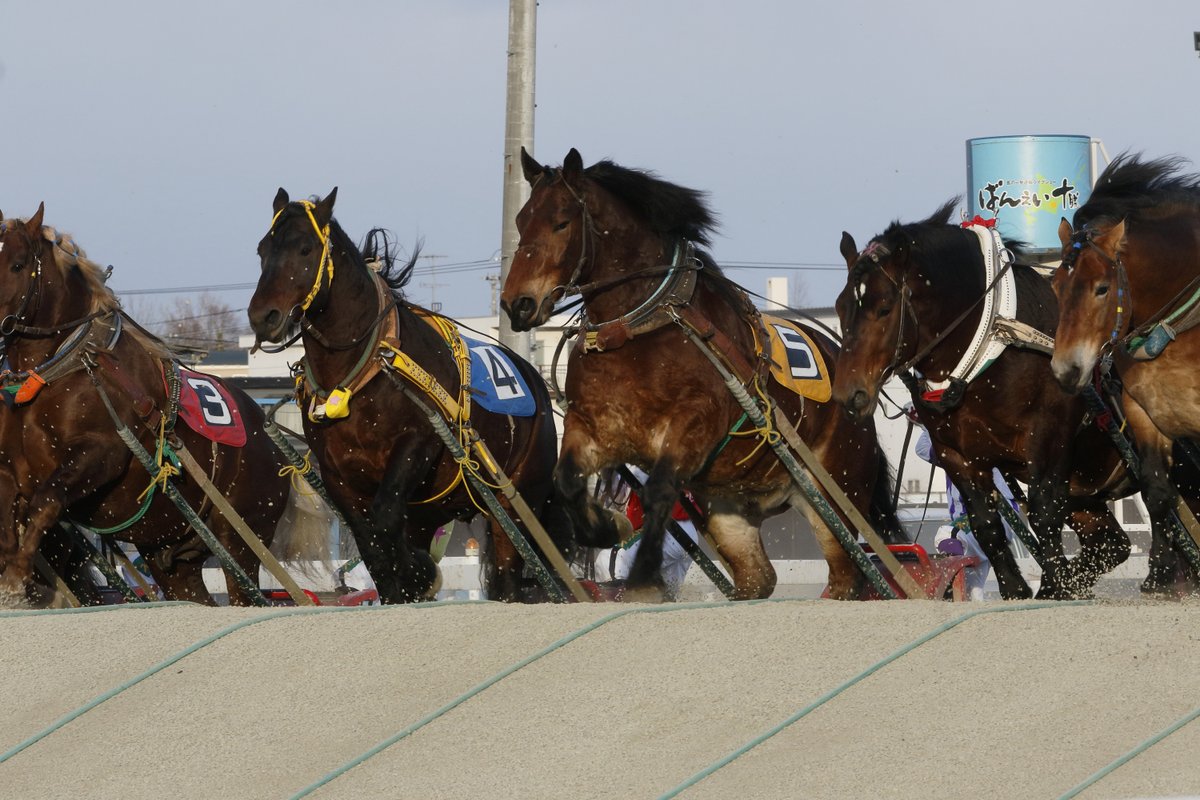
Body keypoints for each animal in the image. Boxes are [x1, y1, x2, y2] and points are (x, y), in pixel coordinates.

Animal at [0, 205, 329, 606]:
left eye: (17, 265)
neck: (61, 371)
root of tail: (271, 444)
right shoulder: (9, 470)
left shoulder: (101, 453)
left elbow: (46, 501)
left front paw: (15, 577)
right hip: (170, 552)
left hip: (239, 540)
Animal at [247, 188, 574, 603]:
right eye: (262, 249)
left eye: (305, 248)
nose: (263, 317)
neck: (364, 373)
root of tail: (536, 382)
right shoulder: (338, 474)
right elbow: (371, 540)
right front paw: (405, 580)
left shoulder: (417, 444)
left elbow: (385, 517)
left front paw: (418, 571)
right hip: (430, 508)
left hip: (517, 497)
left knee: (509, 568)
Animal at [500, 148, 905, 601]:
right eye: (521, 221)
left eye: (561, 221)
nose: (518, 303)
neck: (639, 329)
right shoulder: (591, 427)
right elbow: (568, 482)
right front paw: (607, 526)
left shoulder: (694, 424)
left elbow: (659, 489)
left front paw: (644, 578)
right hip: (728, 511)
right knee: (757, 578)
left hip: (834, 497)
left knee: (845, 577)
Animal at [830, 200, 1200, 599]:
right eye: (840, 306)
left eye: (884, 307)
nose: (849, 392)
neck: (994, 346)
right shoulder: (957, 455)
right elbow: (986, 525)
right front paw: (1022, 589)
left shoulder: (1048, 439)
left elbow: (1043, 512)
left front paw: (1055, 586)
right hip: (1086, 492)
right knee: (1112, 541)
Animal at [1051, 153, 1200, 590]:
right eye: (1055, 286)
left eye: (1101, 288)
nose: (1066, 369)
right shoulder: (1142, 411)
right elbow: (1157, 490)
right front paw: (1162, 576)